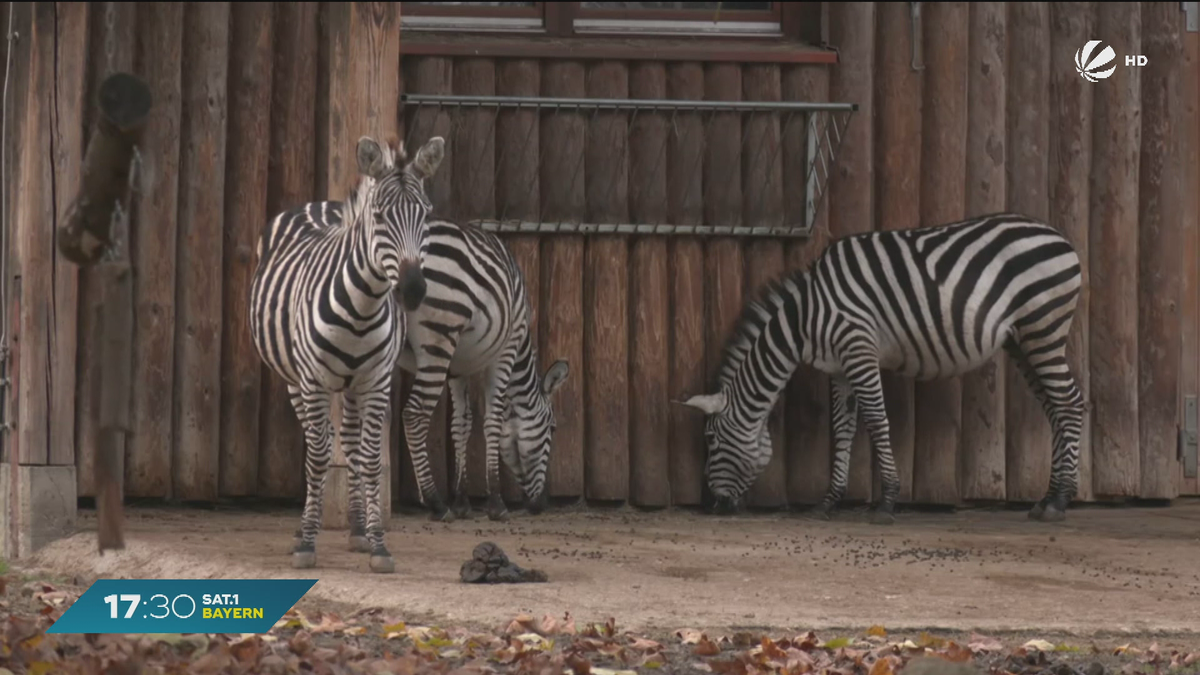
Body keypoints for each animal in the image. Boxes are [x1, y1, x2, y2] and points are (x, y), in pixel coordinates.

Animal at [249, 133, 446, 569]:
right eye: (380, 216)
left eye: (426, 216)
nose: (413, 290)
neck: (362, 307)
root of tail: (321, 204)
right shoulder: (313, 380)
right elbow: (319, 456)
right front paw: (306, 542)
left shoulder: (376, 382)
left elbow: (370, 458)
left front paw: (377, 543)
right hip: (295, 380)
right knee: (317, 439)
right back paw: (304, 529)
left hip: (354, 384)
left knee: (352, 443)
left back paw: (356, 527)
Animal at [386, 218, 568, 523]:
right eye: (552, 429)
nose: (541, 504)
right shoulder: (505, 351)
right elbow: (492, 421)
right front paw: (496, 502)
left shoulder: (458, 368)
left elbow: (462, 423)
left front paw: (461, 501)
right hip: (439, 340)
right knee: (413, 415)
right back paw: (435, 502)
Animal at [686, 212, 1089, 523]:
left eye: (711, 439)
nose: (713, 507)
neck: (806, 318)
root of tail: (1059, 236)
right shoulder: (839, 367)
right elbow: (843, 430)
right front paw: (828, 502)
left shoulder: (859, 350)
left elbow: (878, 421)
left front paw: (888, 501)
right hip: (1022, 341)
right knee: (1054, 408)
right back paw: (1046, 498)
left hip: (1043, 327)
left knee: (1070, 403)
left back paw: (1059, 501)